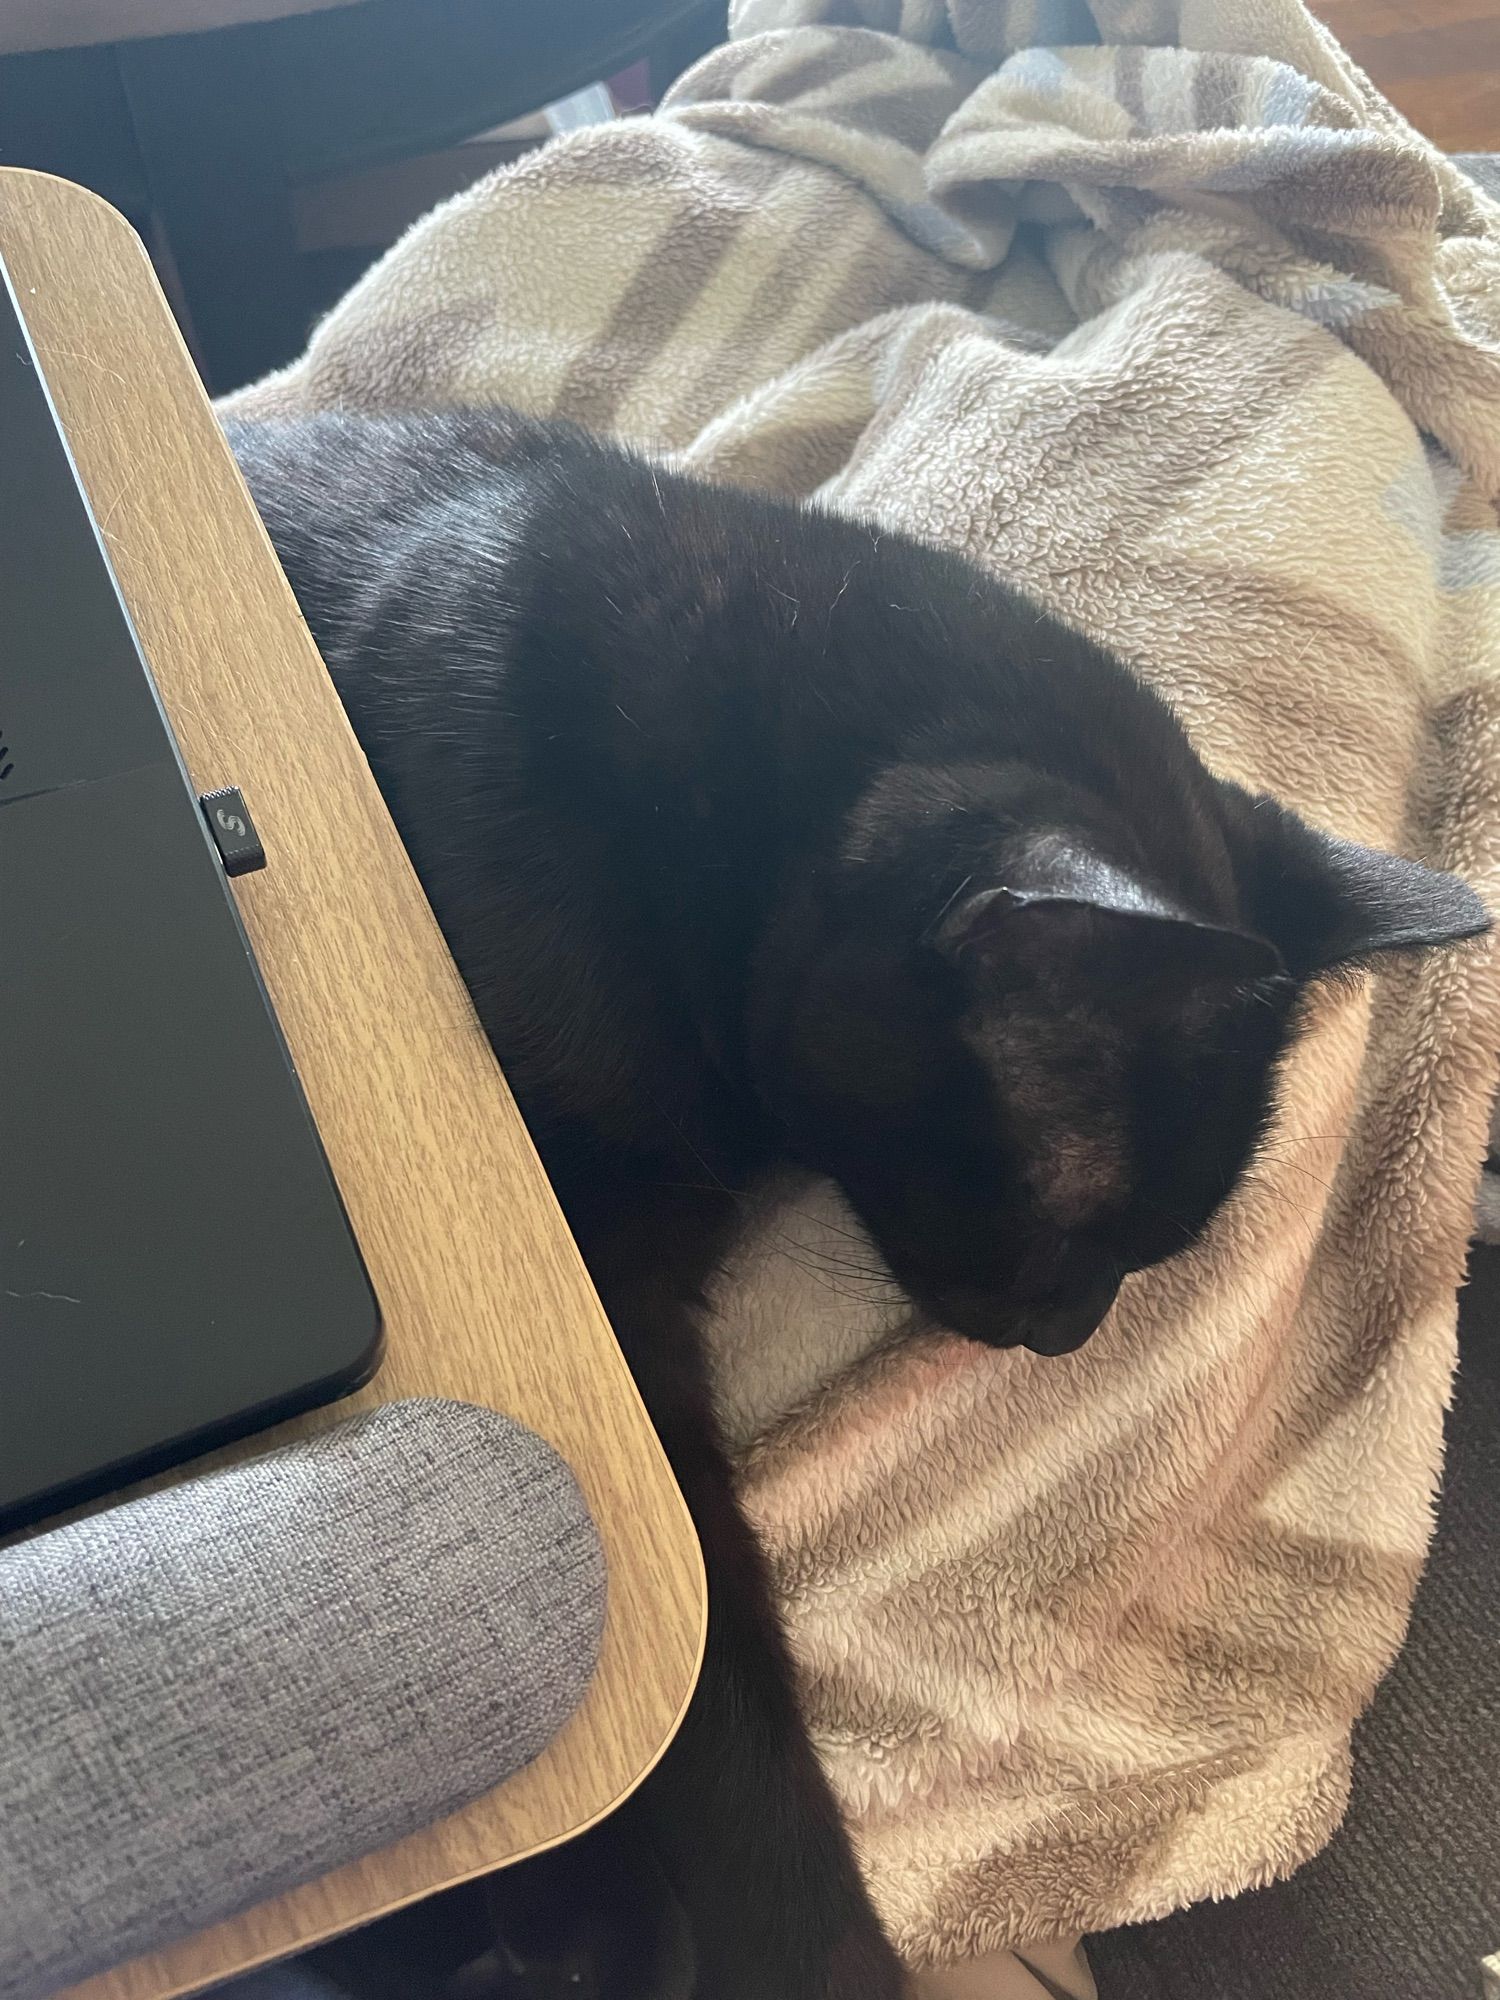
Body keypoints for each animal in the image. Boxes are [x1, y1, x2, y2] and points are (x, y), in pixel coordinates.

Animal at [226, 410, 1496, 2000]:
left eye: (1137, 1259)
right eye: (1072, 1224)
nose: (1068, 1337)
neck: (713, 804)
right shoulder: (602, 1316)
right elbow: (698, 1662)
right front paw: (724, 1937)